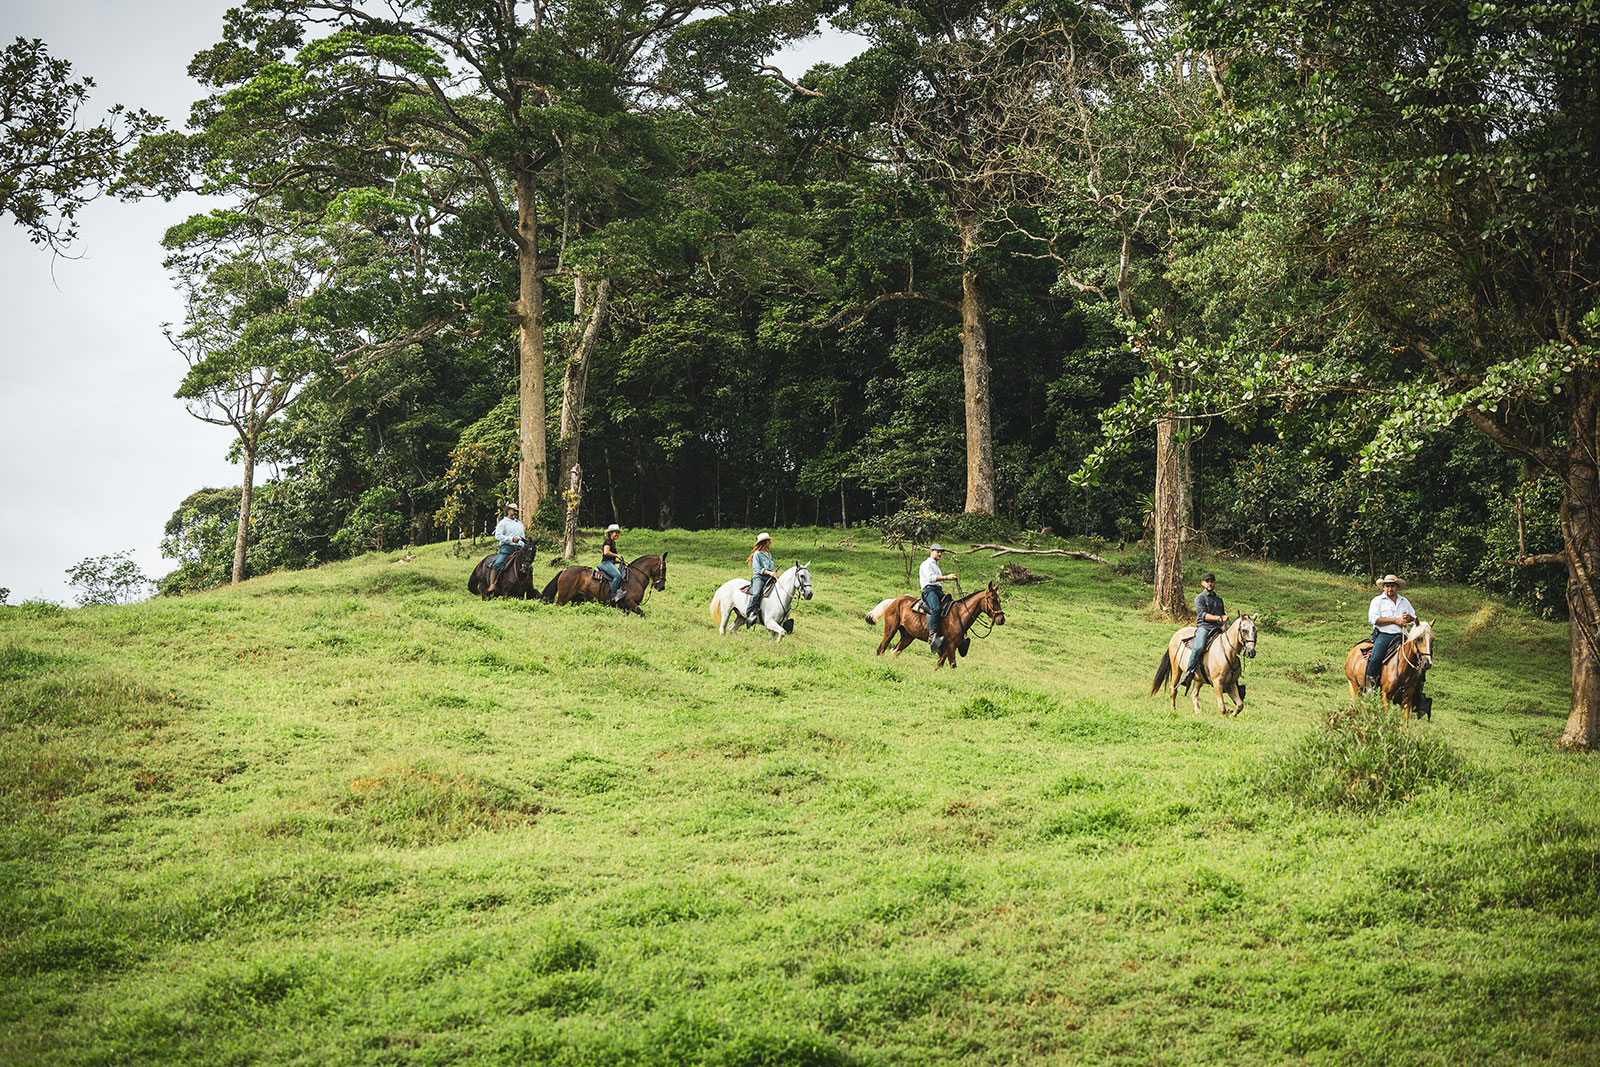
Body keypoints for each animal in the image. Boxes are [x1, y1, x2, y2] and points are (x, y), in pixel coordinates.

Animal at [870, 585, 1004, 668]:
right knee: (881, 649)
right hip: (890, 630)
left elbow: (940, 664)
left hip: (907, 636)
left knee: (894, 651)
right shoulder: (950, 645)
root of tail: (894, 600)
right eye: (992, 599)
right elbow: (952, 665)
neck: (959, 615)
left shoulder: (949, 646)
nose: (1002, 619)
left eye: (1000, 600)